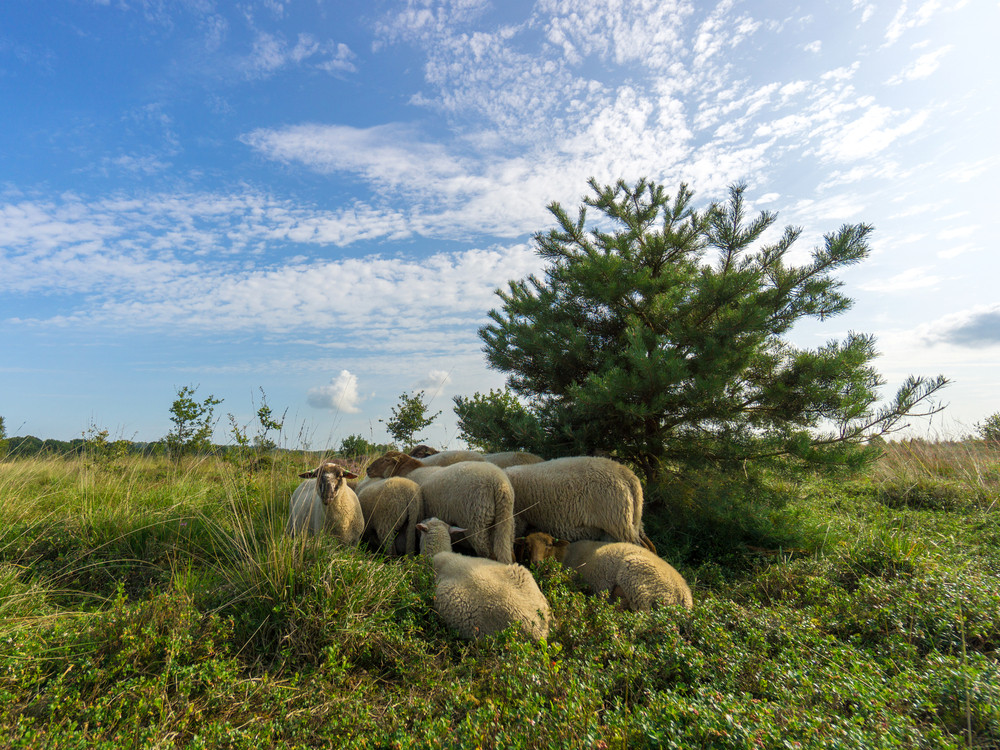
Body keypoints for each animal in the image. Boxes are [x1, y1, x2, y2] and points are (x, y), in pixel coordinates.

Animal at [500, 456, 656, 556]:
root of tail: (628, 475)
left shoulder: (519, 519)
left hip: (617, 522)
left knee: (638, 546)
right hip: (632, 522)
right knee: (648, 545)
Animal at [520, 532, 692, 612]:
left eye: (549, 545)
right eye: (527, 546)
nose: (535, 563)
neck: (564, 554)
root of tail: (684, 596)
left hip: (638, 584)